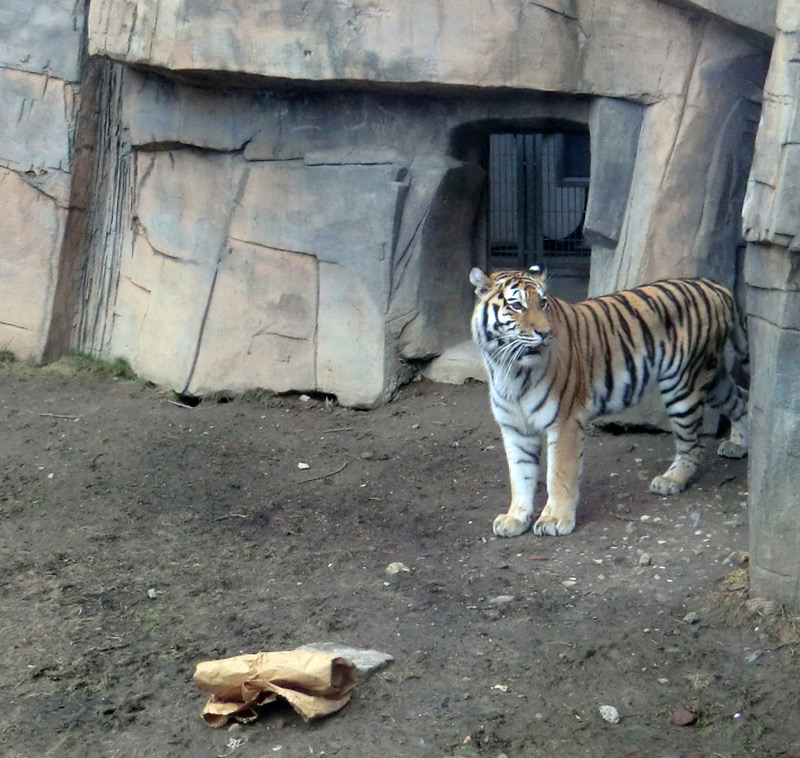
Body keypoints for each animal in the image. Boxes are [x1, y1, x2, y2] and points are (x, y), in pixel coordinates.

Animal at [472, 268, 748, 540]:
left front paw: (555, 519)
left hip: (683, 384)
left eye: (543, 303)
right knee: (741, 398)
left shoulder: (564, 422)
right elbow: (520, 476)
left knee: (693, 444)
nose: (545, 333)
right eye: (517, 305)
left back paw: (671, 480)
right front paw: (515, 519)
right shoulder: (515, 428)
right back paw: (738, 445)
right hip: (712, 379)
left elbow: (559, 475)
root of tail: (714, 284)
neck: (510, 369)